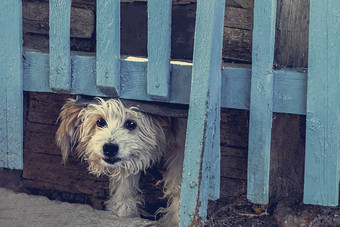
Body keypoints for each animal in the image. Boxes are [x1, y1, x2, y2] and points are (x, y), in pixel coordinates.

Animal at [55, 97, 186, 225]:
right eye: (100, 122)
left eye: (131, 124)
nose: (109, 148)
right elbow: (125, 184)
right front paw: (124, 210)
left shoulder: (181, 151)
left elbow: (177, 185)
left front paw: (175, 218)